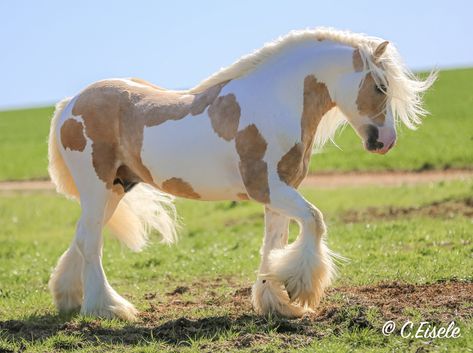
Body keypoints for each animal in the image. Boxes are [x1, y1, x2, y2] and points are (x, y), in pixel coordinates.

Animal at [47, 27, 436, 320]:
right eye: (381, 87)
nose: (385, 141)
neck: (275, 101)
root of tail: (69, 104)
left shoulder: (281, 189)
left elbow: (275, 242)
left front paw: (277, 303)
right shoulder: (267, 187)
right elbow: (314, 220)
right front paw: (299, 289)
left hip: (116, 187)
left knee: (82, 236)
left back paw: (70, 299)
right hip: (97, 186)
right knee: (90, 240)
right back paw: (108, 308)